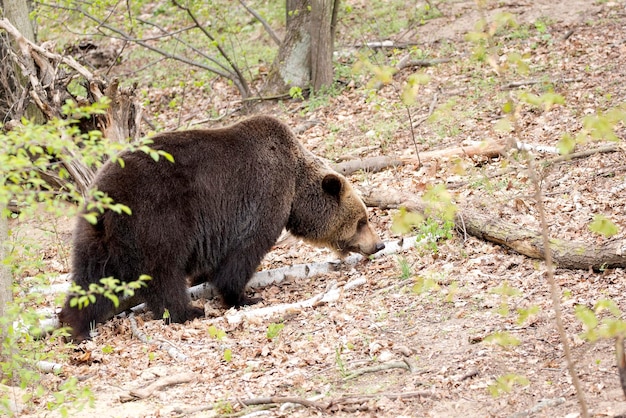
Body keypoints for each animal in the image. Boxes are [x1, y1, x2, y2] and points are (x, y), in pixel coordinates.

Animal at [58, 114, 382, 340]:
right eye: (362, 221)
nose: (378, 244)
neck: (295, 186)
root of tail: (105, 201)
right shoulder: (261, 197)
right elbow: (244, 252)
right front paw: (244, 296)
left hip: (95, 237)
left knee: (89, 279)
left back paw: (75, 326)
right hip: (158, 220)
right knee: (163, 272)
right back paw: (186, 311)